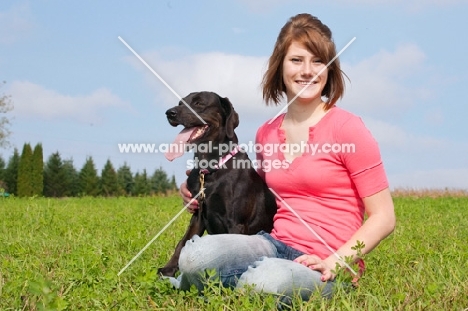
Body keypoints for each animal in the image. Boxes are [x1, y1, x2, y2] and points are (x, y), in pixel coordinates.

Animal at [159, 91, 278, 276]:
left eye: (199, 103)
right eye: (180, 103)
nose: (169, 113)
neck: (210, 168)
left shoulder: (236, 222)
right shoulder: (198, 216)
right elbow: (183, 243)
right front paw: (168, 269)